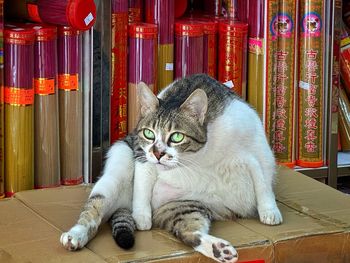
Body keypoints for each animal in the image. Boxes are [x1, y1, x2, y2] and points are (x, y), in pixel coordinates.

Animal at [60, 74, 282, 263]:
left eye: (176, 136)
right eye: (149, 134)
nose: (158, 153)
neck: (197, 158)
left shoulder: (254, 153)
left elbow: (262, 182)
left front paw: (269, 211)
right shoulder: (141, 152)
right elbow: (142, 183)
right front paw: (141, 217)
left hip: (185, 205)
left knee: (189, 232)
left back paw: (220, 250)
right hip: (115, 172)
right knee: (92, 213)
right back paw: (75, 236)